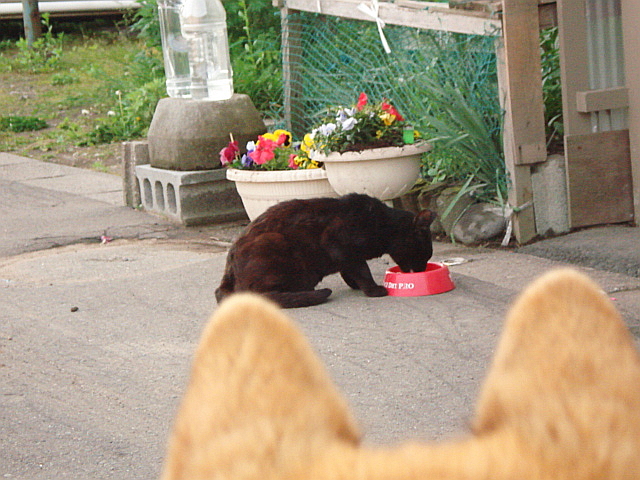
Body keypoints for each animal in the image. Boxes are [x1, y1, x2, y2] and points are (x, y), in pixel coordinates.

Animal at [215, 193, 436, 310]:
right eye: (424, 255)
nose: (422, 270)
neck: (382, 225)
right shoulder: (337, 243)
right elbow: (362, 270)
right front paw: (373, 290)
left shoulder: (344, 256)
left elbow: (350, 271)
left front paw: (356, 286)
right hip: (272, 241)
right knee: (259, 294)